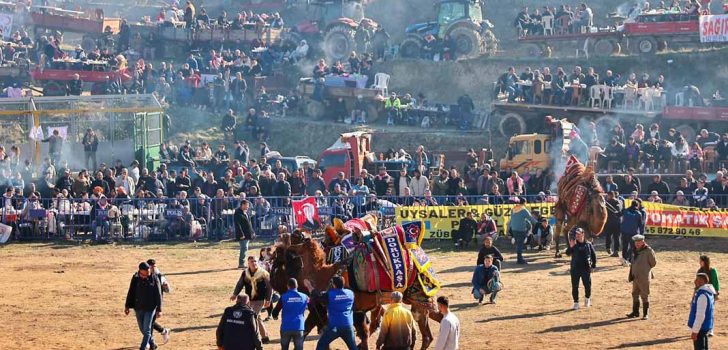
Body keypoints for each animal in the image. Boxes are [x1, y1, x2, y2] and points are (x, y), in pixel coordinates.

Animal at [268, 215, 438, 348]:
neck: (323, 274)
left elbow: (362, 335)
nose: (274, 250)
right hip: (414, 297)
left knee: (425, 331)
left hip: (420, 293)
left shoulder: (353, 308)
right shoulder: (353, 309)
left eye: (280, 255)